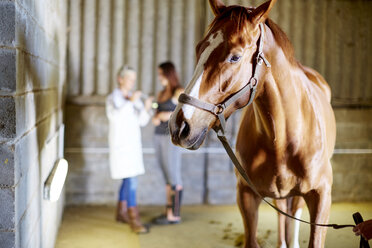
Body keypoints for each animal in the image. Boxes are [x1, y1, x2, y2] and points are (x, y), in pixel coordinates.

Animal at [170, 0, 336, 248]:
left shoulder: (321, 195)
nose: (179, 125)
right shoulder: (246, 194)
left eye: (235, 57)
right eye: (199, 48)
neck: (283, 139)